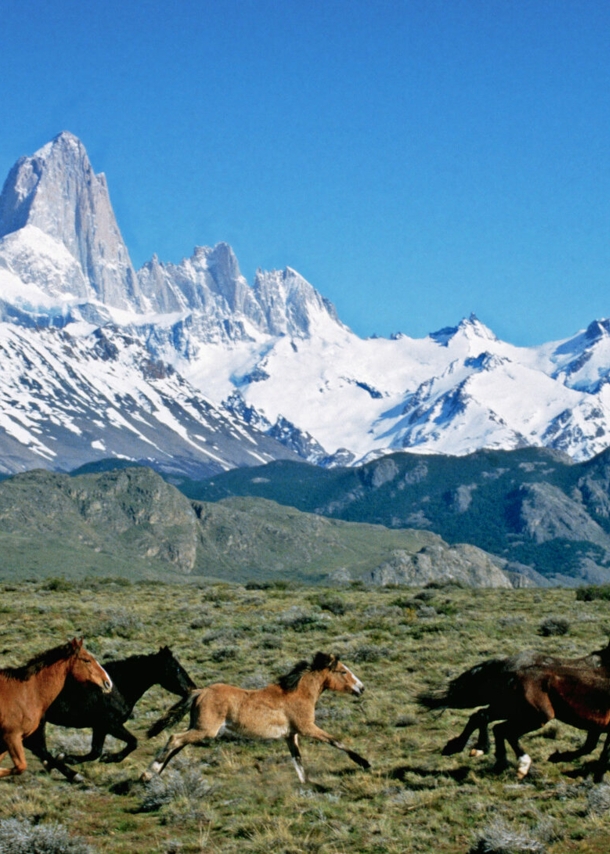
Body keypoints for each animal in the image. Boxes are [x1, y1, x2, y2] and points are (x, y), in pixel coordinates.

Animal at [0, 640, 111, 780]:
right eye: (87, 660)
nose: (108, 683)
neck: (26, 692)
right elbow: (21, 766)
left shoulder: (9, 739)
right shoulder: (11, 736)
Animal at [30, 648, 195, 784]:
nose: (192, 687)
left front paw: (71, 757)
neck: (117, 688)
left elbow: (95, 752)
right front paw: (108, 758)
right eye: (177, 668)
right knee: (40, 749)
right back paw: (73, 775)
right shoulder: (111, 725)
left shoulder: (100, 727)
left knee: (39, 749)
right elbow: (133, 742)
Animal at [143, 656, 370, 784]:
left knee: (177, 745)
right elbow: (335, 741)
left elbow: (298, 760)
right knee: (174, 738)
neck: (298, 693)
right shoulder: (307, 728)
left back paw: (153, 775)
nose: (361, 688)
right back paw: (148, 774)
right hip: (205, 730)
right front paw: (364, 763)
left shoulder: (291, 736)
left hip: (198, 728)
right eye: (343, 671)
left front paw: (307, 784)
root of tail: (201, 691)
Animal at [420, 640, 610, 784]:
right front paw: (597, 776)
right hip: (532, 715)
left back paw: (474, 752)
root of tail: (508, 668)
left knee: (484, 718)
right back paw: (509, 761)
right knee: (498, 726)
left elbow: (591, 747)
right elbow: (598, 750)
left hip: (509, 709)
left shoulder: (598, 726)